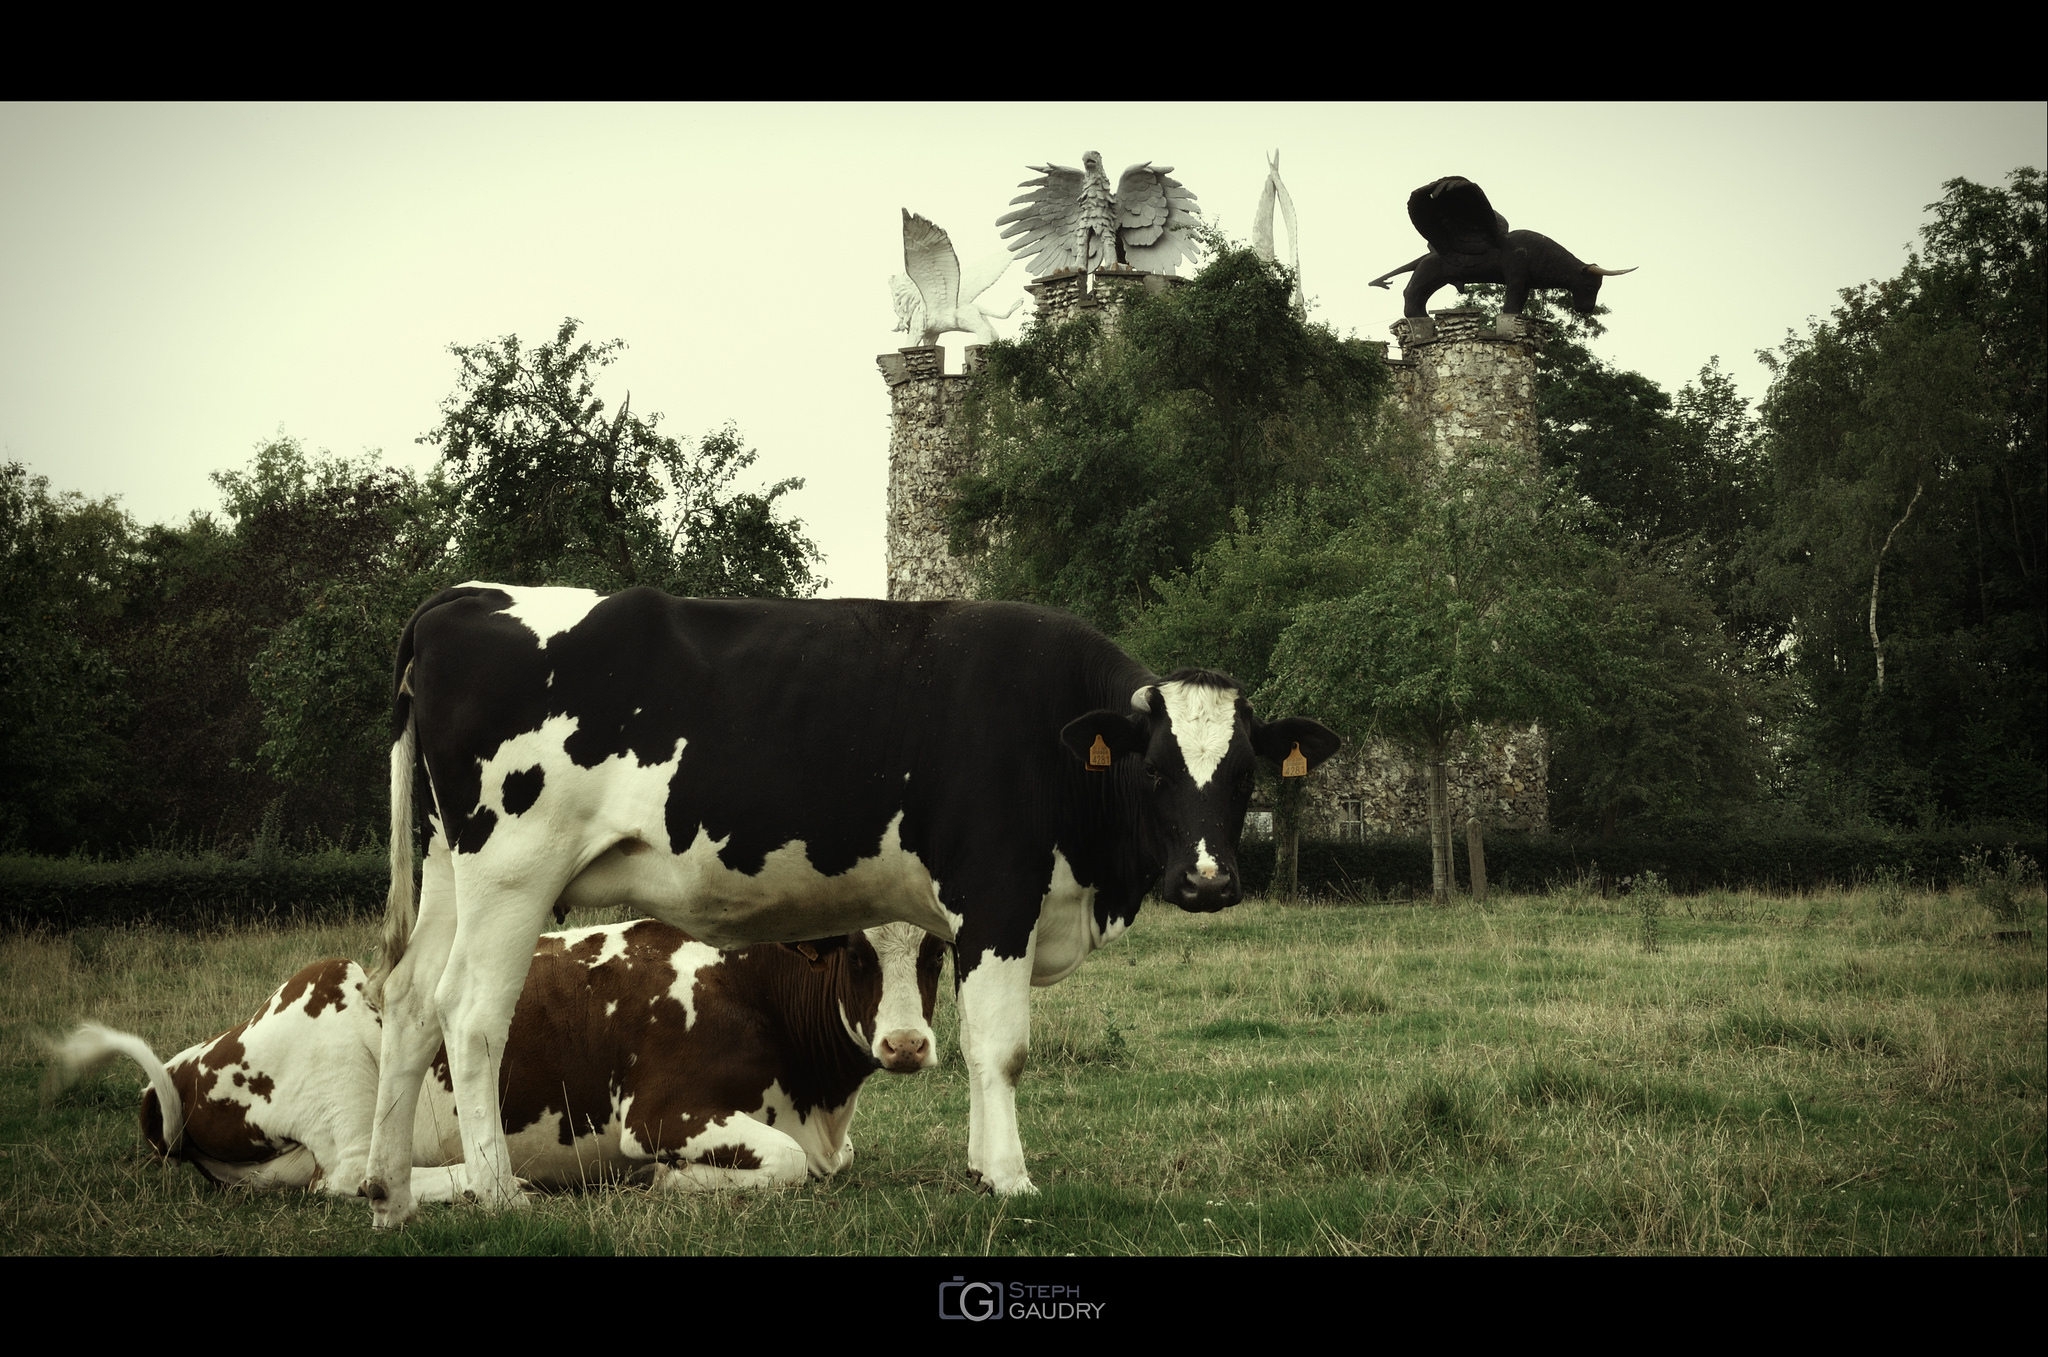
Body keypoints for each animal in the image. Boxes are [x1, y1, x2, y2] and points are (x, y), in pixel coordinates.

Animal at [49, 916, 942, 1195]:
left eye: (934, 951)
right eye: (856, 953)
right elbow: (785, 1164)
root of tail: (192, 1060)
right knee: (357, 1176)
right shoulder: (659, 1109)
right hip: (337, 1035)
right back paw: (494, 1182)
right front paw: (670, 1182)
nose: (905, 1043)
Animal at [364, 589, 1343, 1228]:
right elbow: (1002, 1046)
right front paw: (1011, 1177)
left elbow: (975, 1040)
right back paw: (497, 1196)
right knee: (470, 1014)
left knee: (407, 1001)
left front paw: (981, 1166)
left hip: (449, 868)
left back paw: (389, 1191)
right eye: (1153, 768)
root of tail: (462, 597)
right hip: (510, 870)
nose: (1208, 880)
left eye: (1245, 772)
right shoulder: (998, 896)